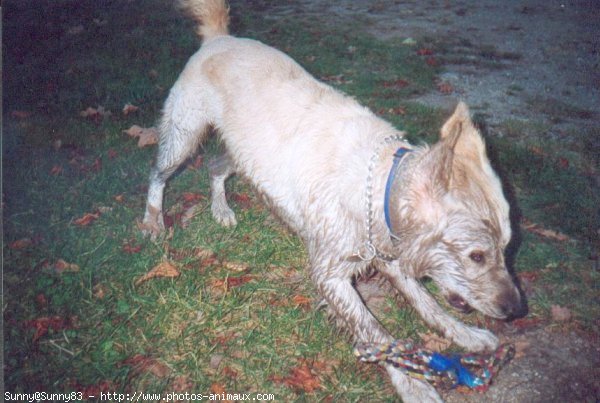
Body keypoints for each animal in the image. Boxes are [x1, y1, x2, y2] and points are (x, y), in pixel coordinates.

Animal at [141, 2, 520, 400]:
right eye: (476, 256)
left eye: (507, 249)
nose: (515, 309)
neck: (378, 185)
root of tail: (220, 38)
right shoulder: (330, 275)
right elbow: (376, 334)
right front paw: (413, 384)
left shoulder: (391, 255)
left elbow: (428, 303)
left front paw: (465, 335)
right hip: (183, 137)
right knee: (157, 175)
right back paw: (153, 221)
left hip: (244, 155)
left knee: (215, 166)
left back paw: (221, 208)